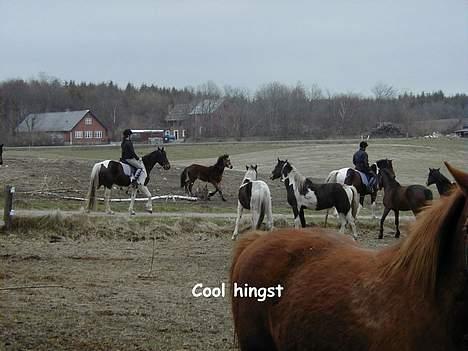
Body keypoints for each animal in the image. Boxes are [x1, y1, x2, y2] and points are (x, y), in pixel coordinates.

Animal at [230, 162, 468, 351]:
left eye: (279, 167)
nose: (272, 175)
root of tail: (347, 186)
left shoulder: (297, 208)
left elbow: (298, 222)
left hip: (343, 207)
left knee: (347, 222)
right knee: (350, 222)